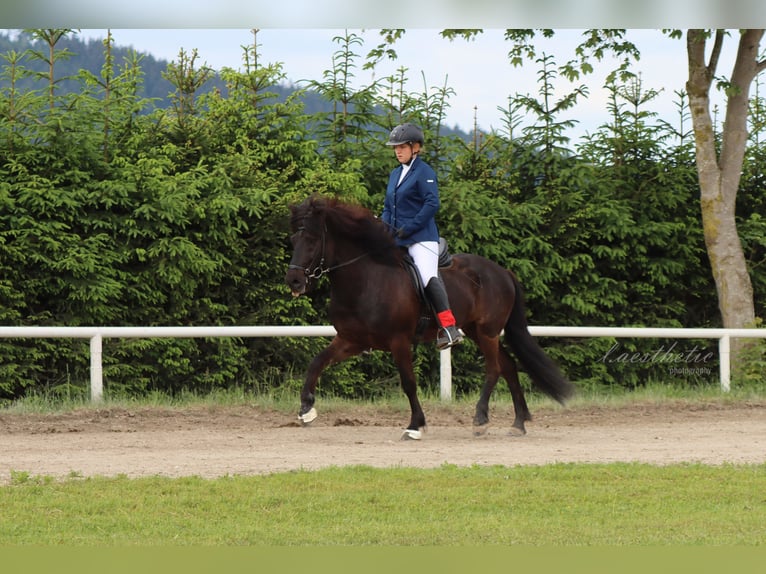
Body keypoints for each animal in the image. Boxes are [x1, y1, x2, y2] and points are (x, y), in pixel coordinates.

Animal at [284, 195, 572, 440]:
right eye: (293, 241)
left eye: (312, 239)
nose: (294, 281)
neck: (366, 279)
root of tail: (503, 272)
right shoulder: (351, 340)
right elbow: (316, 363)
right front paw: (306, 409)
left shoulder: (399, 341)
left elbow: (409, 383)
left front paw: (415, 426)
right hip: (477, 331)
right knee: (509, 366)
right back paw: (518, 423)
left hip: (488, 331)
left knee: (494, 369)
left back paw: (480, 420)